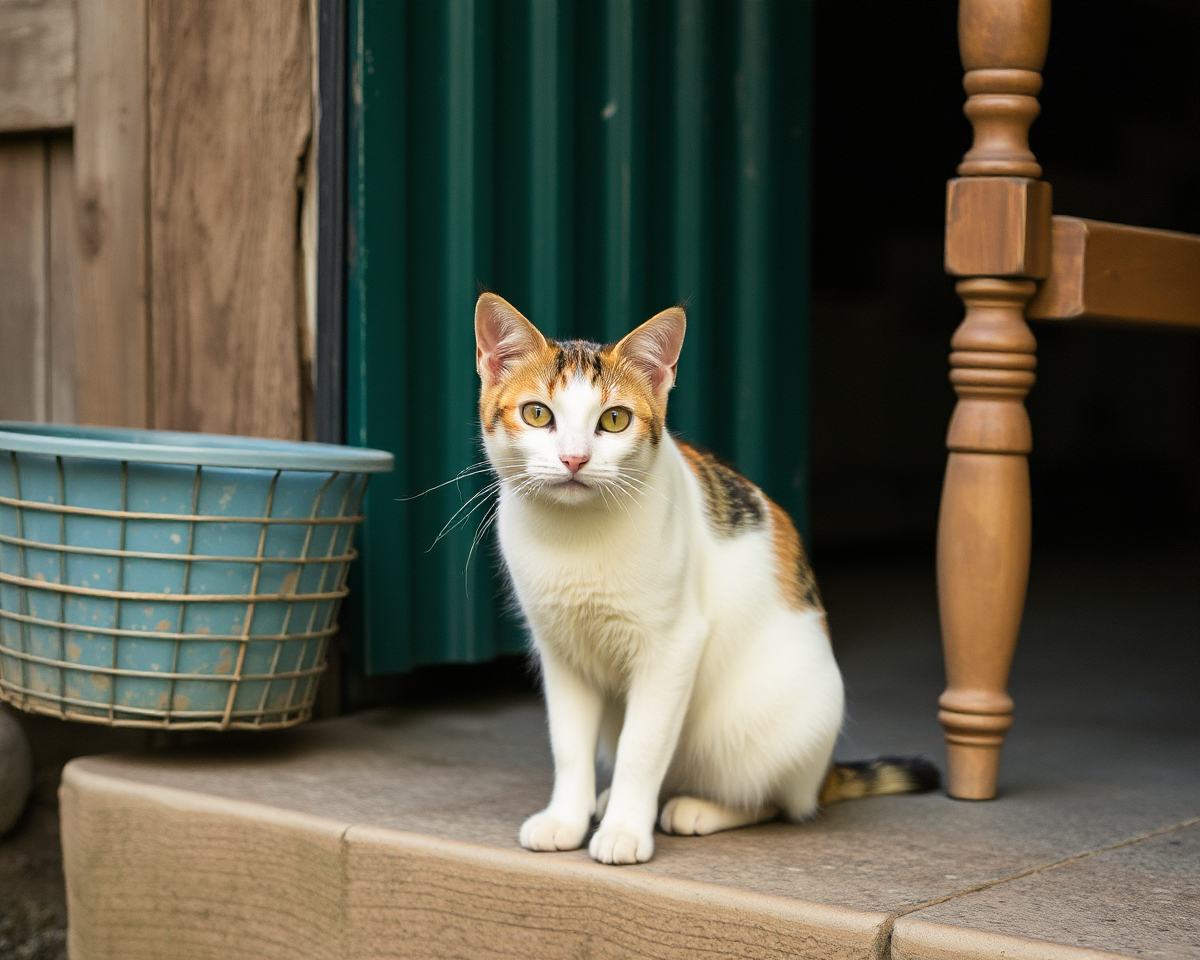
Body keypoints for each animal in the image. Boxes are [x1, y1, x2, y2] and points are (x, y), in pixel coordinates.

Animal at [470, 294, 936, 868]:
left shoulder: (672, 646)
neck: (575, 538)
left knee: (777, 801)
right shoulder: (561, 651)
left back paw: (696, 809)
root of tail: (824, 773)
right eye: (538, 414)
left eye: (614, 420)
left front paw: (625, 830)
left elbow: (643, 747)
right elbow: (569, 745)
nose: (574, 459)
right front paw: (567, 818)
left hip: (775, 725)